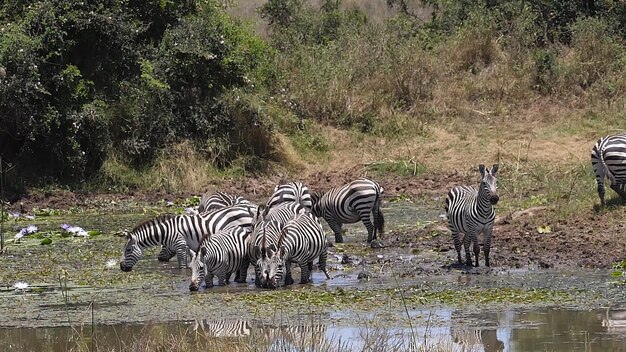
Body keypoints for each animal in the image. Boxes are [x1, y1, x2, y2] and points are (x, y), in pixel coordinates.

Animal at [118, 205, 255, 270]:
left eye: (128, 250)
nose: (121, 267)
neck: (168, 231)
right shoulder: (187, 246)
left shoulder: (180, 245)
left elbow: (182, 265)